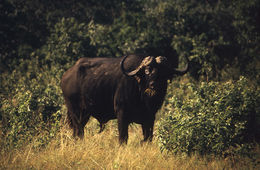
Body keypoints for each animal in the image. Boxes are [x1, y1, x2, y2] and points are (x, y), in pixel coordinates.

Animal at [60, 54, 188, 143]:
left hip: (84, 114)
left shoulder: (150, 117)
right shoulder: (121, 114)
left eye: (163, 72)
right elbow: (123, 138)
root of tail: (66, 76)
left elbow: (148, 138)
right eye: (147, 71)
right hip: (76, 112)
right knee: (78, 131)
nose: (153, 85)